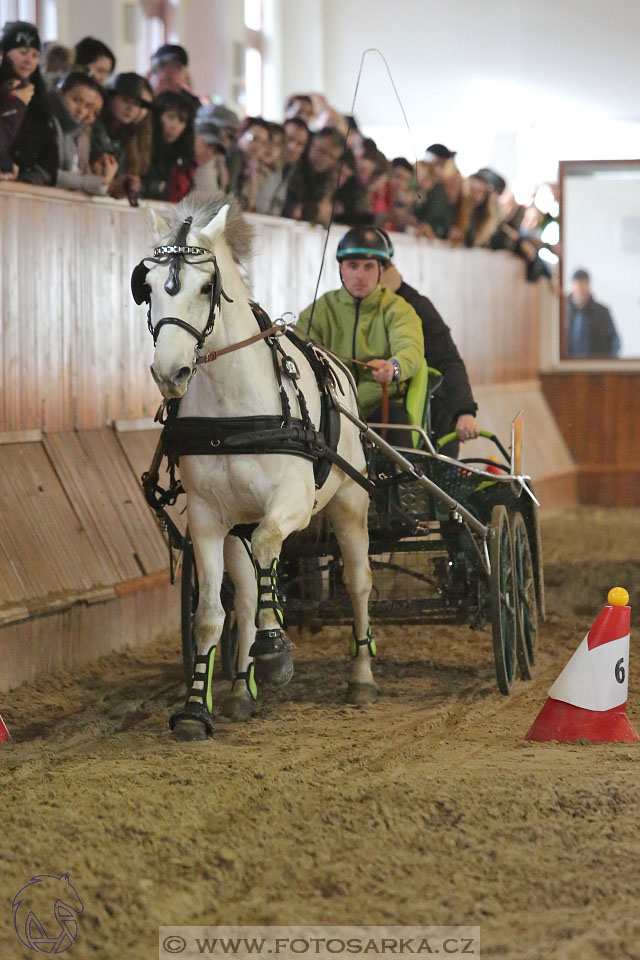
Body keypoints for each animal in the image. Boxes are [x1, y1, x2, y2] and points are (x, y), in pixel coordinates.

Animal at [135, 191, 376, 740]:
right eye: (148, 286)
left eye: (207, 287)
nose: (169, 372)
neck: (234, 411)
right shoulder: (208, 519)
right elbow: (210, 615)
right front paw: (195, 709)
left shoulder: (292, 502)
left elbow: (270, 543)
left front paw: (273, 651)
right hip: (235, 528)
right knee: (245, 596)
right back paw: (240, 690)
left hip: (350, 503)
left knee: (358, 581)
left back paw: (360, 676)